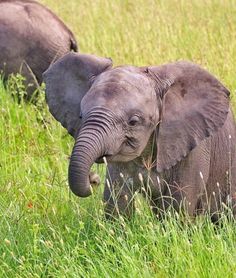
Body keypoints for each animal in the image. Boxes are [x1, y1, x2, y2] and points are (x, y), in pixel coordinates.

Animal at [42, 52, 236, 222]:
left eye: (133, 122)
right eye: (81, 116)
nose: (93, 179)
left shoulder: (192, 148)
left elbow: (178, 210)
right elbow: (117, 205)